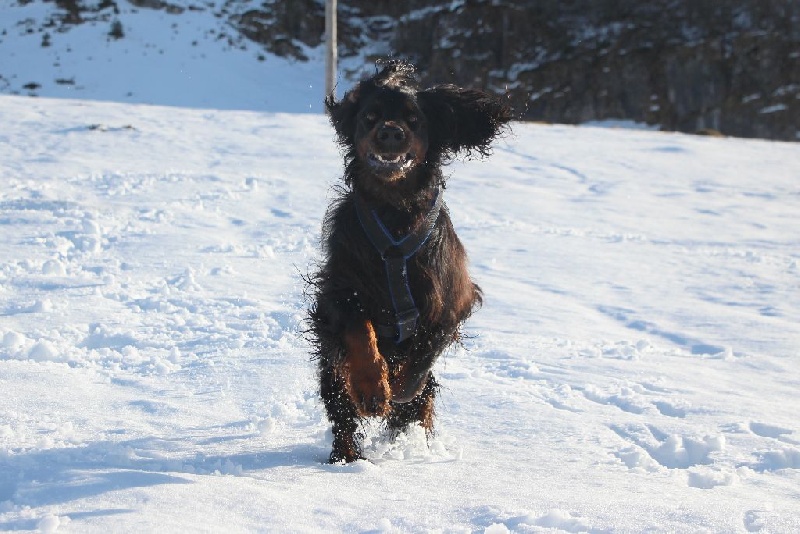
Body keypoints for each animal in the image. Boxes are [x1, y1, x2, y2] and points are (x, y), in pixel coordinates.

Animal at [308, 60, 512, 464]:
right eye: (369, 117)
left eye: (414, 119)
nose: (390, 133)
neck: (394, 210)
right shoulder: (339, 289)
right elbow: (360, 329)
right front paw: (373, 387)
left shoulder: (451, 298)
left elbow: (425, 351)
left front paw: (399, 384)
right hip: (331, 371)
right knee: (342, 414)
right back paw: (346, 458)